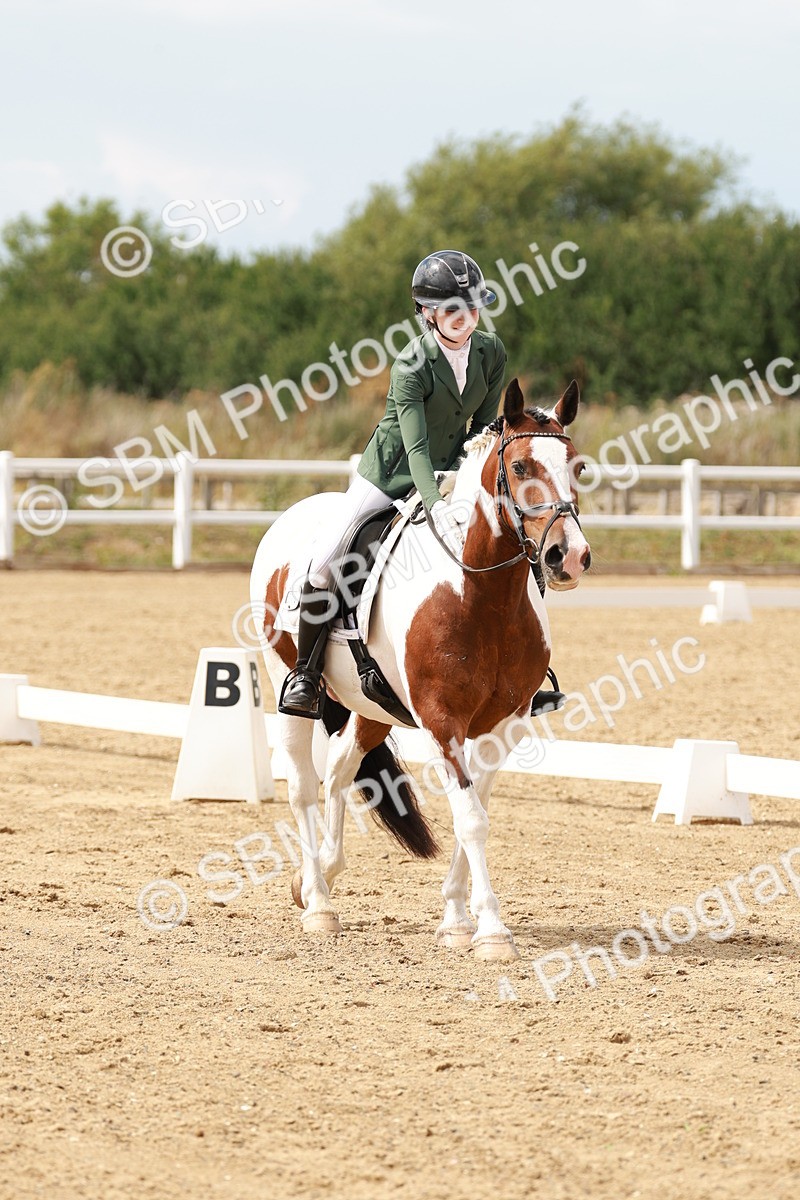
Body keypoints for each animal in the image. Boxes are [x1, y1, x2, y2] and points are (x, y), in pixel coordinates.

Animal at [249, 377, 591, 961]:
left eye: (578, 467)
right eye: (520, 465)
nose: (566, 557)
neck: (482, 594)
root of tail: (291, 517)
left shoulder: (505, 725)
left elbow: (475, 811)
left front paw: (456, 918)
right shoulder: (441, 721)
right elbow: (471, 819)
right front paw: (491, 931)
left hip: (371, 705)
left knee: (339, 769)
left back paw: (319, 879)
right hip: (285, 683)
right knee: (302, 785)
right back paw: (319, 904)